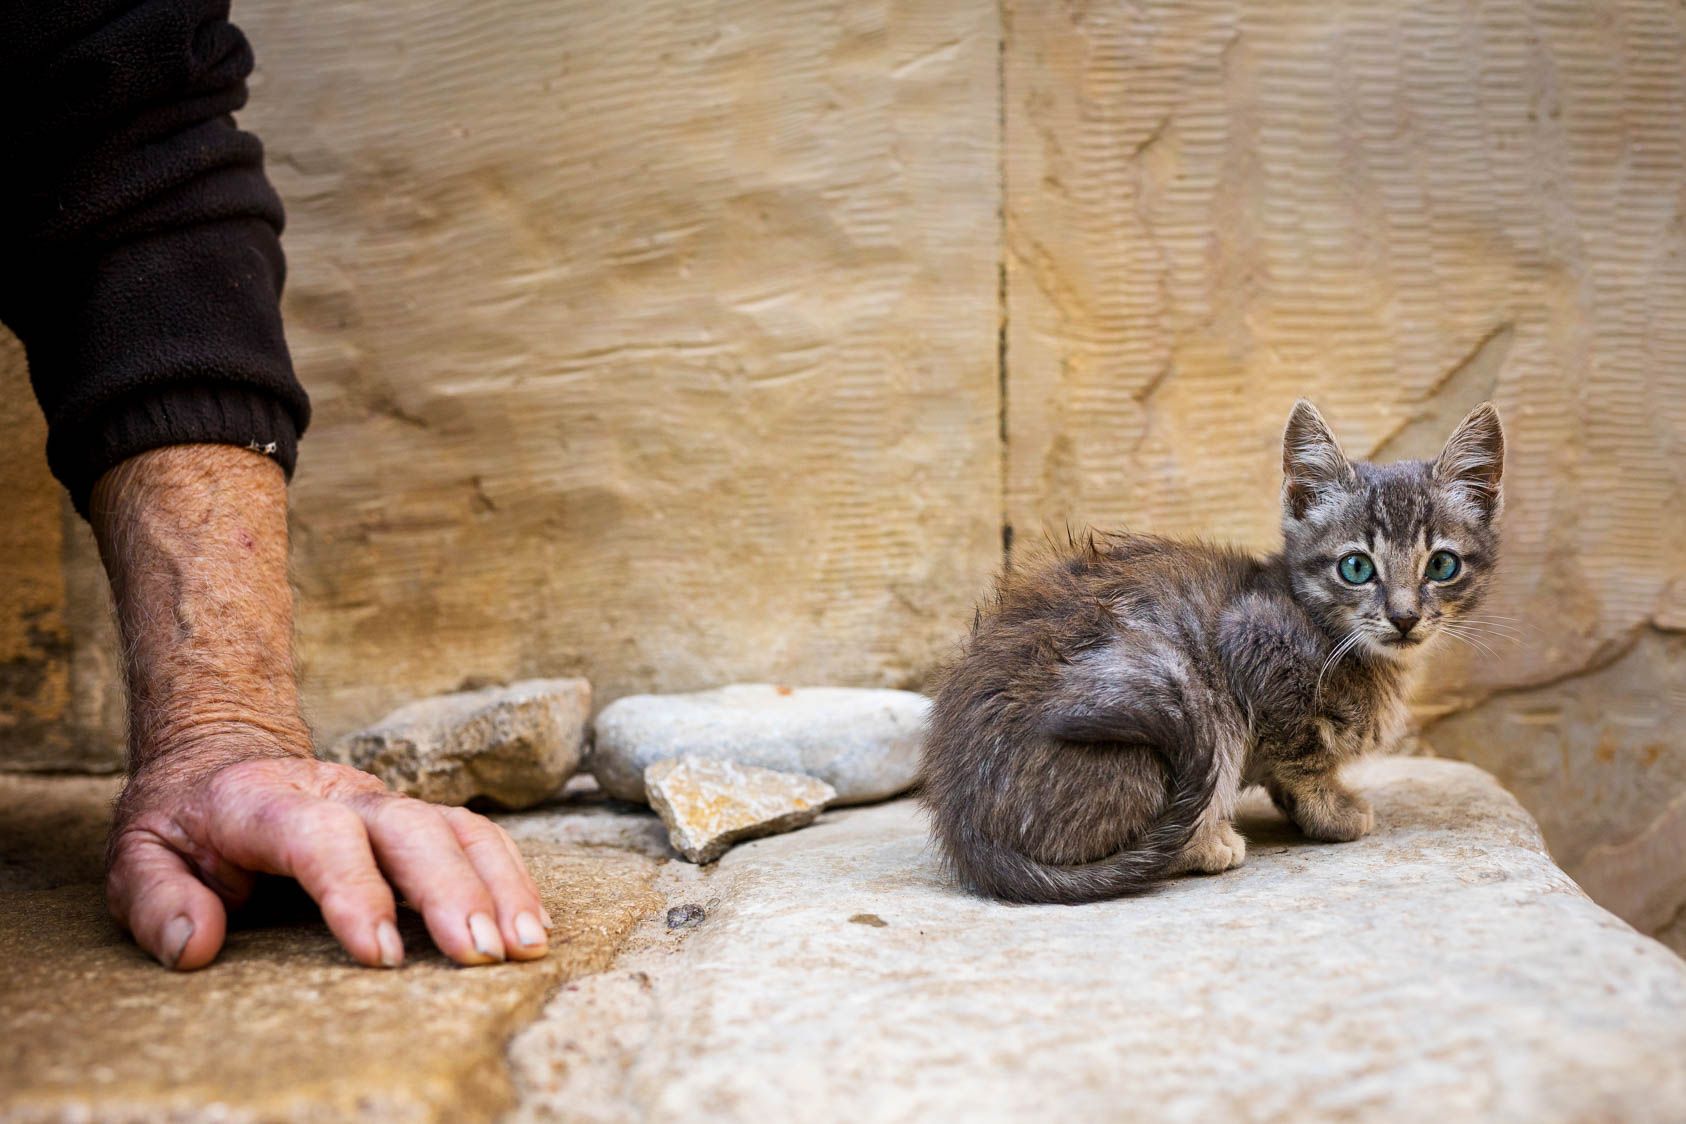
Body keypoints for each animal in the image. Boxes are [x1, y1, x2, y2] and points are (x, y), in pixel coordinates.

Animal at [930, 399, 1510, 903]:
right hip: (1188, 703)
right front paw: (1330, 813)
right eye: (1356, 567)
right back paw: (1207, 844)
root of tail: (967, 828)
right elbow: (1303, 757)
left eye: (1442, 565)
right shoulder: (1252, 641)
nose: (1405, 616)